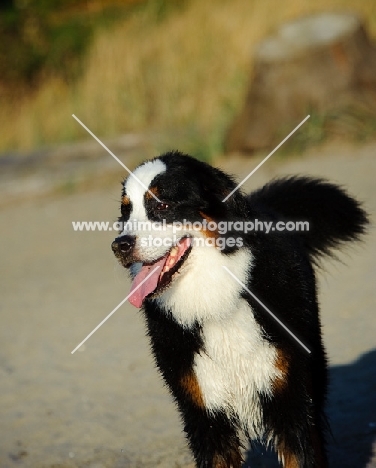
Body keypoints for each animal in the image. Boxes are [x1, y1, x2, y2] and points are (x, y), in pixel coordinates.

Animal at [111, 152, 368, 466]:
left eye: (161, 205)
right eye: (126, 212)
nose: (120, 245)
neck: (214, 301)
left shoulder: (291, 402)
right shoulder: (204, 415)